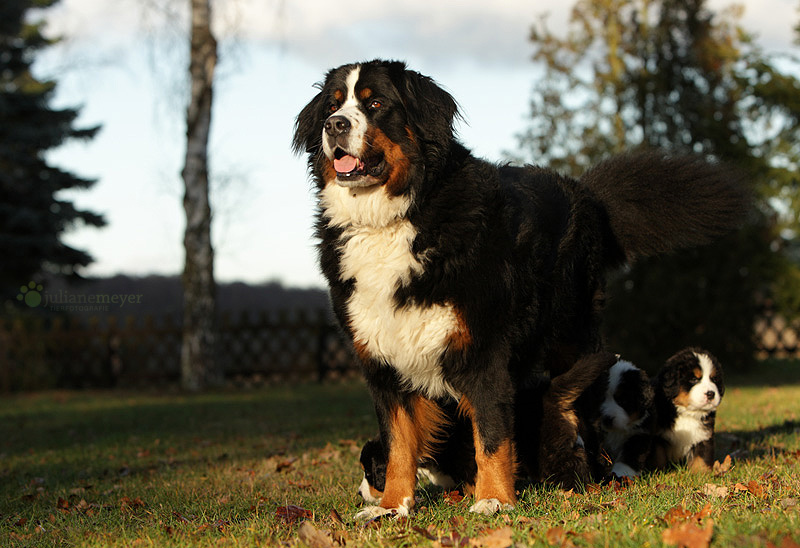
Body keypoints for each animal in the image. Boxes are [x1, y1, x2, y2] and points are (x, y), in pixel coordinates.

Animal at [294, 60, 752, 520]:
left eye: (375, 104)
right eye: (332, 105)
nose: (334, 126)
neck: (395, 218)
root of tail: (585, 192)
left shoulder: (484, 351)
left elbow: (492, 433)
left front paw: (494, 499)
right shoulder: (384, 359)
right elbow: (399, 442)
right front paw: (392, 507)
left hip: (573, 338)